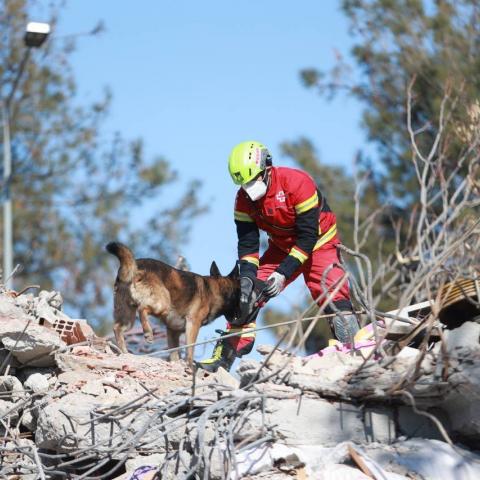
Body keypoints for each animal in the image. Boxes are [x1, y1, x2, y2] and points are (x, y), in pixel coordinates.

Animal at [106, 242, 239, 366]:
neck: (215, 289)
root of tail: (135, 265)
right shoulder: (193, 323)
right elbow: (190, 350)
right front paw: (190, 367)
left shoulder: (173, 331)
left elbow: (175, 353)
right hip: (163, 304)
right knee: (142, 308)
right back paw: (148, 333)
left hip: (128, 318)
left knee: (117, 327)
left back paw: (124, 352)